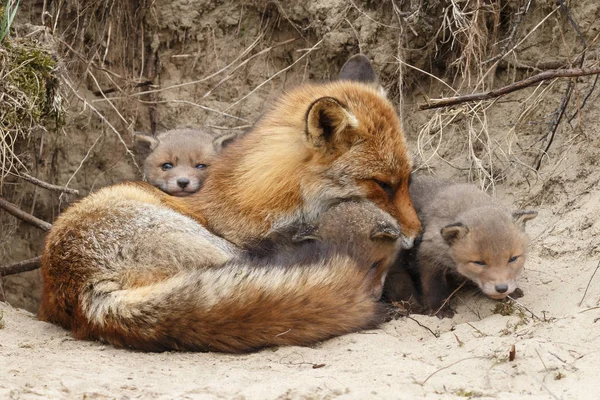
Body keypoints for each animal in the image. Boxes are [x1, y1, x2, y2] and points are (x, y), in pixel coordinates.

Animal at [384, 177, 540, 318]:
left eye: (513, 259)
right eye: (479, 263)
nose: (501, 288)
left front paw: (511, 292)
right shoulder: (429, 253)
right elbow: (434, 286)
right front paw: (440, 308)